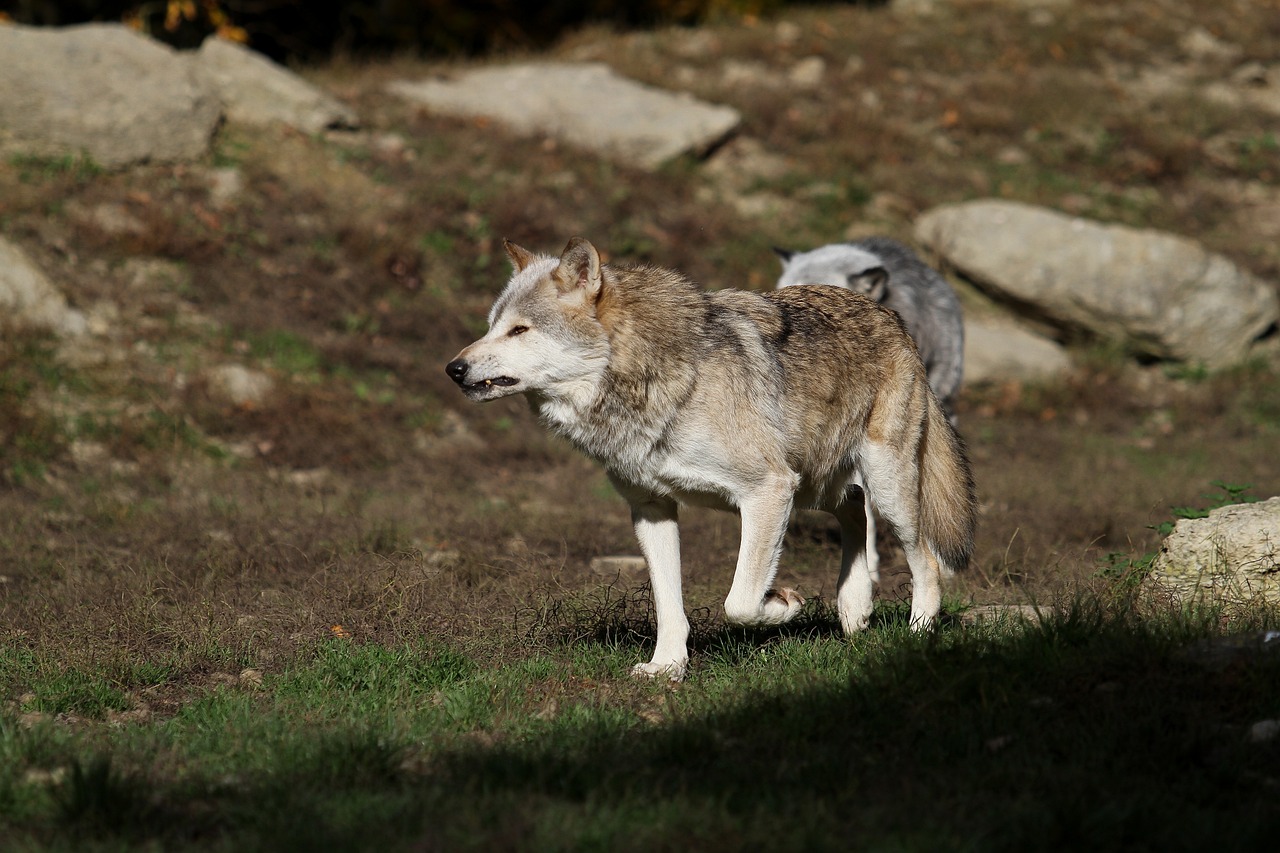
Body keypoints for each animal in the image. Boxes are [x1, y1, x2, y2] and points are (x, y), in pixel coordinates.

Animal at [446, 237, 977, 680]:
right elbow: (669, 608)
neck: (655, 380)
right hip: (813, 486)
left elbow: (739, 602)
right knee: (853, 509)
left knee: (925, 558)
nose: (454, 368)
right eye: (492, 326)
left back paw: (916, 633)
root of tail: (890, 315)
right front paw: (667, 669)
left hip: (882, 488)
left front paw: (784, 604)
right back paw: (854, 607)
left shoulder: (767, 491)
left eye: (519, 330)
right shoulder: (652, 510)